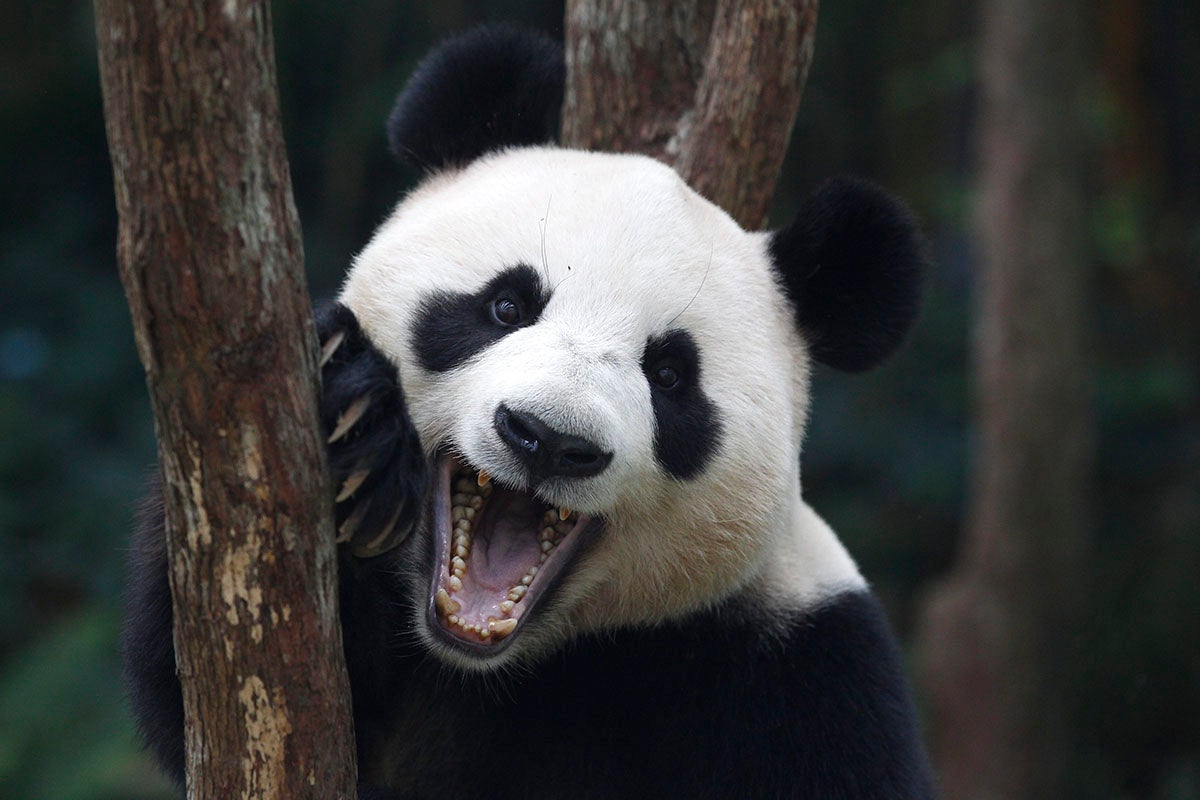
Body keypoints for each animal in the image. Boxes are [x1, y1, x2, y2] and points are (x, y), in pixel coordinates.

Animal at [123, 25, 936, 800]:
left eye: (671, 375)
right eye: (506, 306)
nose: (547, 439)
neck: (496, 666)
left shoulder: (802, 673)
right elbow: (214, 691)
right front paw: (358, 424)